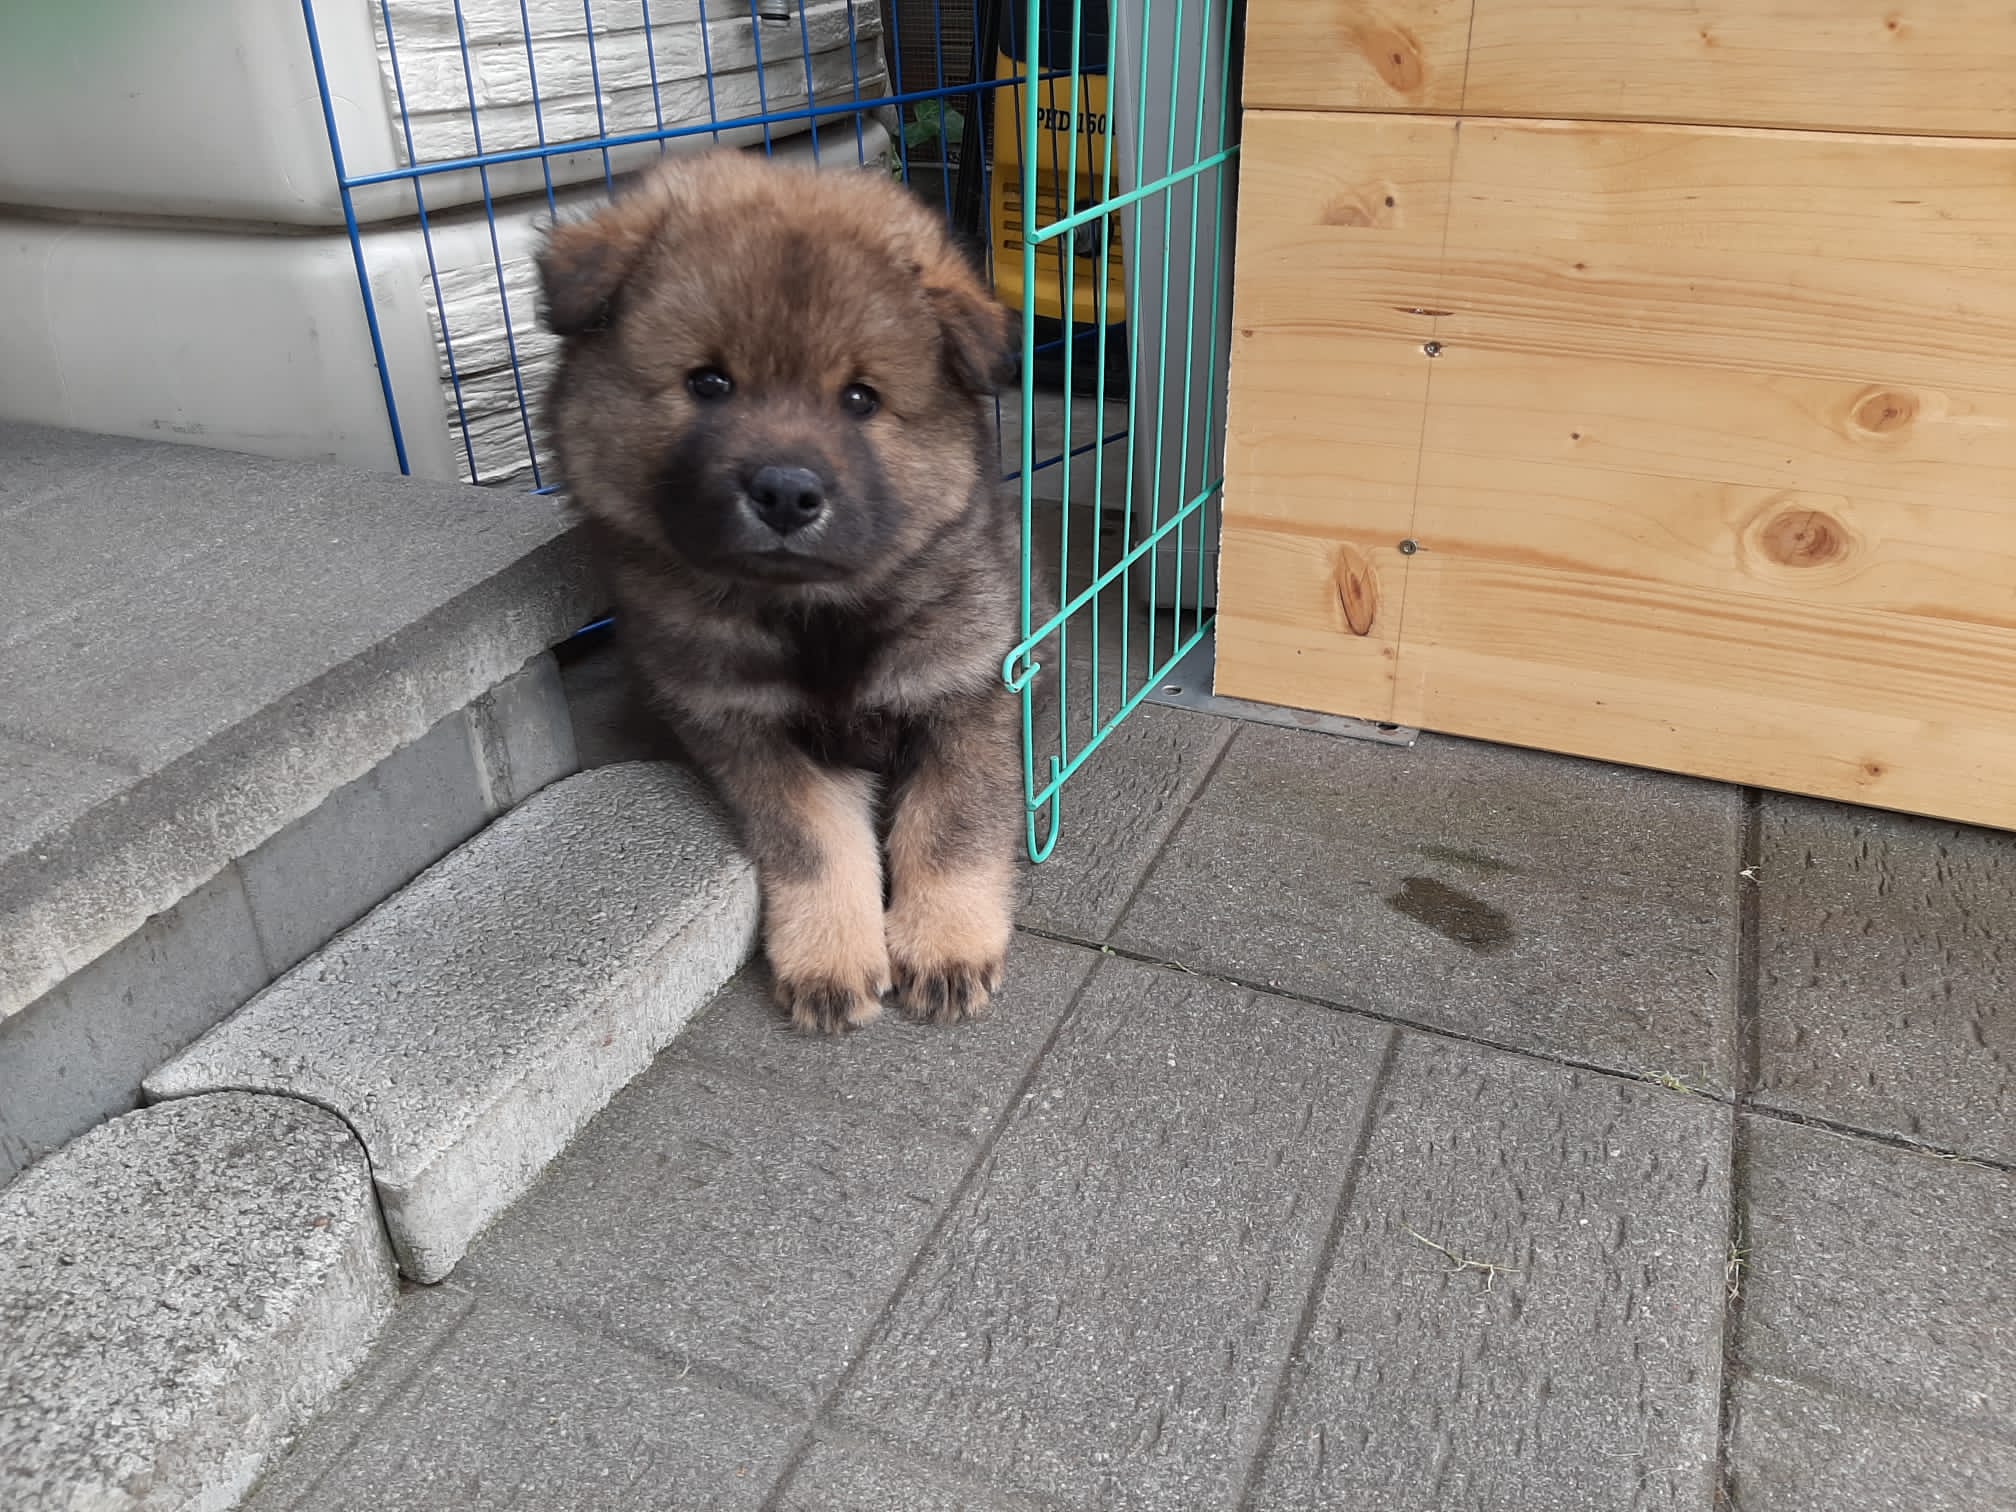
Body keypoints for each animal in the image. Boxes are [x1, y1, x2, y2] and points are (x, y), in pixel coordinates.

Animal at [537, 149, 1022, 1035]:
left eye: (861, 398)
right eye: (709, 383)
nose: (788, 494)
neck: (814, 616)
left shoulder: (963, 691)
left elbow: (951, 828)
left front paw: (945, 944)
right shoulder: (746, 728)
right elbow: (816, 848)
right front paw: (831, 958)